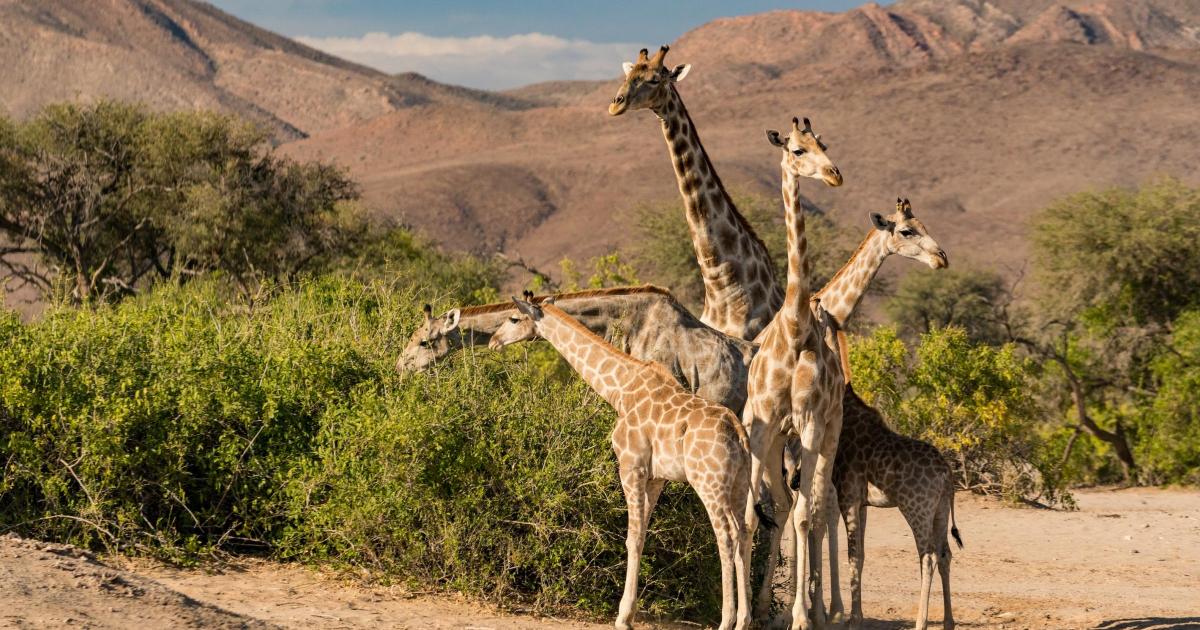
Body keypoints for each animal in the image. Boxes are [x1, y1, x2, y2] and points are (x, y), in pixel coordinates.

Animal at [501, 297, 768, 630]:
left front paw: (622, 617)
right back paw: (744, 619)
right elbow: (641, 536)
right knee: (745, 532)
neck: (619, 389)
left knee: (727, 535)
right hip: (740, 481)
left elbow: (630, 537)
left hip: (708, 481)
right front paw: (627, 613)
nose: (495, 341)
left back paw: (727, 619)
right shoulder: (656, 477)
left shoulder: (630, 465)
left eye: (513, 318)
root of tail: (737, 432)